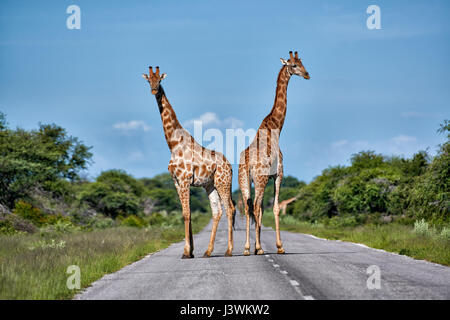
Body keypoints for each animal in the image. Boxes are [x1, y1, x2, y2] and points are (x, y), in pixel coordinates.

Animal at [143, 66, 236, 258]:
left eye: (160, 80)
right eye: (149, 80)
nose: (154, 90)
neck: (173, 143)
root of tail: (230, 166)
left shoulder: (184, 180)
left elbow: (186, 214)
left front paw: (186, 252)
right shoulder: (176, 182)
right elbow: (186, 214)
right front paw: (191, 251)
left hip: (223, 183)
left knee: (230, 209)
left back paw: (229, 250)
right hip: (210, 185)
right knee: (217, 211)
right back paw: (208, 251)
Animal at [239, 51, 310, 255]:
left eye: (302, 62)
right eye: (293, 65)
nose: (307, 74)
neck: (276, 127)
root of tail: (248, 162)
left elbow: (263, 209)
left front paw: (257, 246)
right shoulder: (278, 174)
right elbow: (276, 207)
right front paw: (279, 246)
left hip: (244, 179)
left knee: (248, 207)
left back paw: (247, 248)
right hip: (260, 179)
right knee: (254, 206)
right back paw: (258, 248)